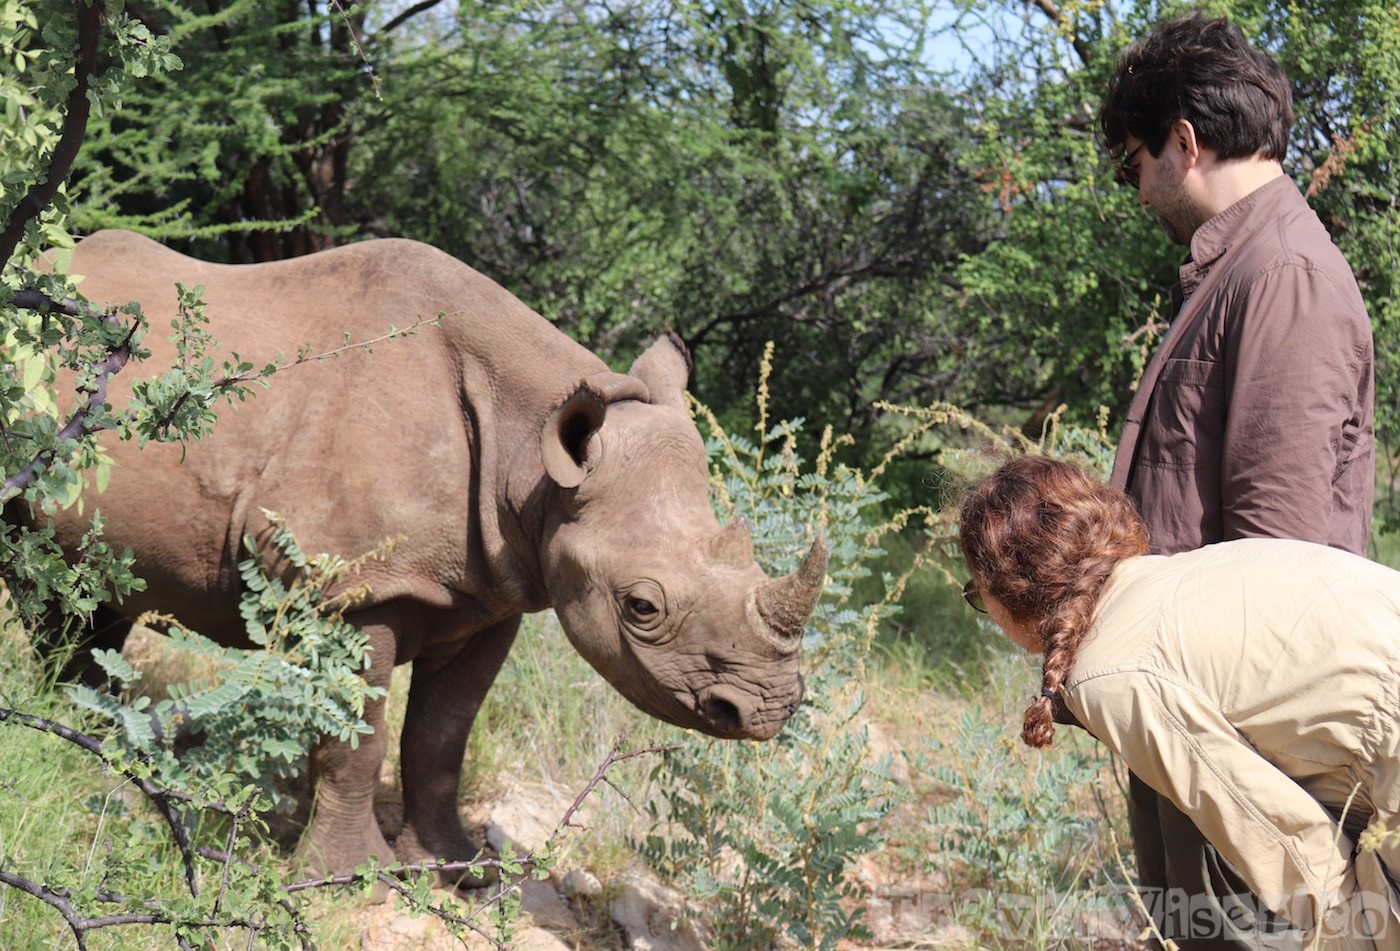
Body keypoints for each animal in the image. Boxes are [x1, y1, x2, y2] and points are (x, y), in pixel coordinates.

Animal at [34, 230, 827, 877]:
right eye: (641, 607)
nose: (770, 709)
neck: (529, 452)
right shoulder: (354, 587)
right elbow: (357, 740)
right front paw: (350, 877)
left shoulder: (493, 594)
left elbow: (441, 738)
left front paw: (457, 869)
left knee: (91, 597)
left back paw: (92, 736)